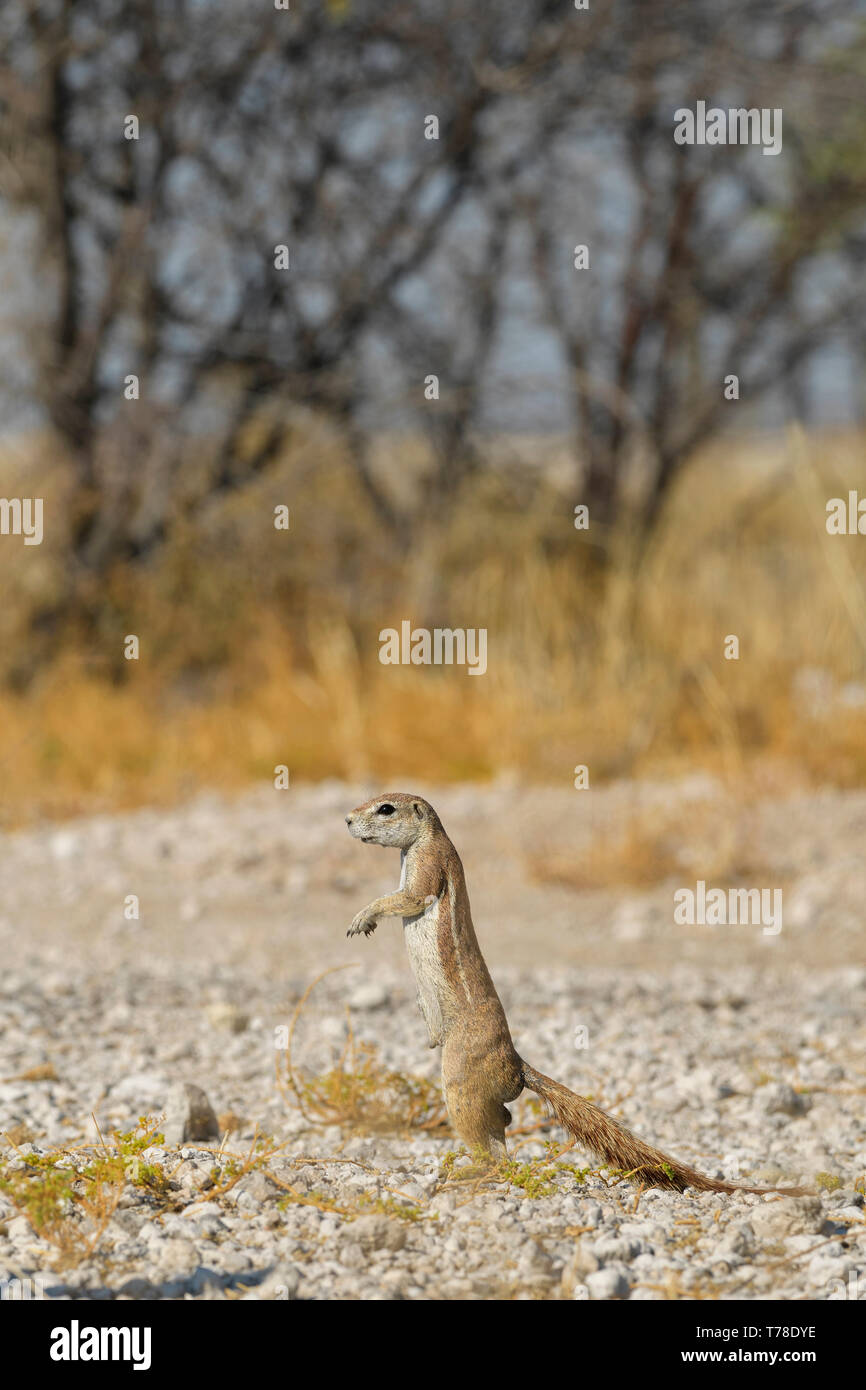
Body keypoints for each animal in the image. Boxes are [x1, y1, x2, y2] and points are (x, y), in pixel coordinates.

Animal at [346, 795, 811, 1195]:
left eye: (385, 808)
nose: (348, 820)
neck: (422, 841)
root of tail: (517, 1066)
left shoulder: (428, 865)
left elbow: (406, 897)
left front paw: (362, 917)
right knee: (503, 1128)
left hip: (460, 1082)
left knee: (494, 1150)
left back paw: (465, 1173)